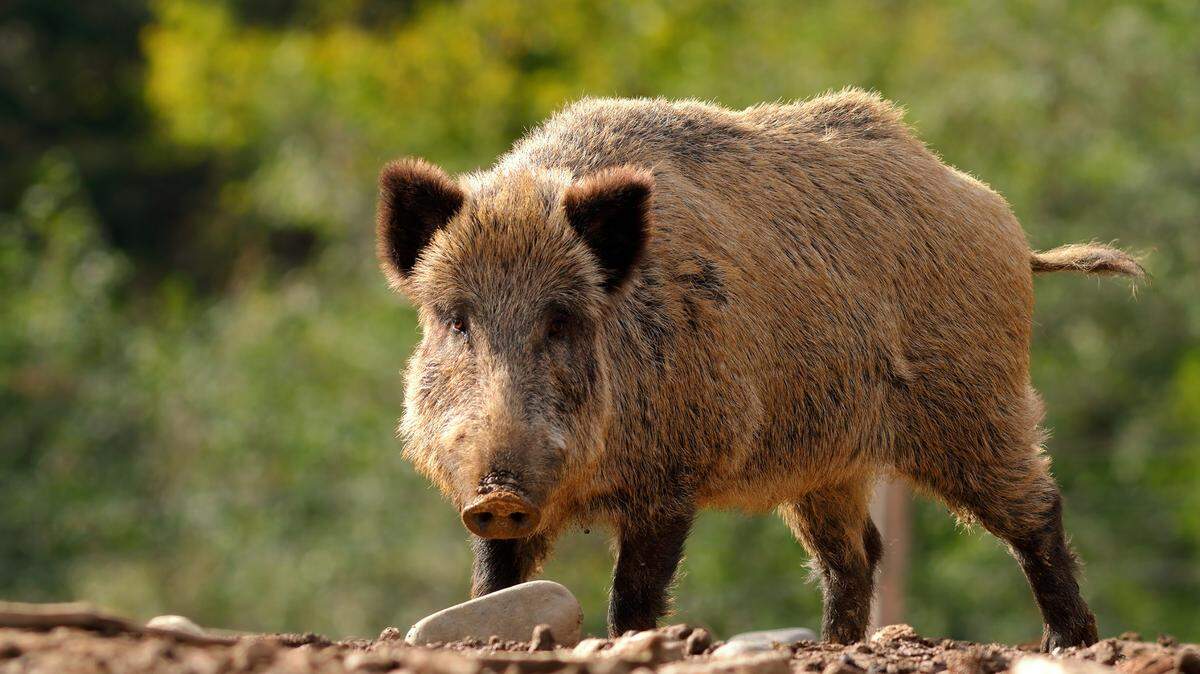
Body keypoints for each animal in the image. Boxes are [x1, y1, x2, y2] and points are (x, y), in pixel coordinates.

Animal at [375, 90, 1142, 650]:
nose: (498, 492)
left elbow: (635, 592)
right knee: (857, 553)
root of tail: (1003, 223)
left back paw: (1068, 643)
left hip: (974, 404)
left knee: (1037, 510)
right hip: (828, 463)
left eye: (561, 320)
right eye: (456, 320)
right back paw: (835, 649)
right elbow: (495, 583)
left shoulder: (674, 472)